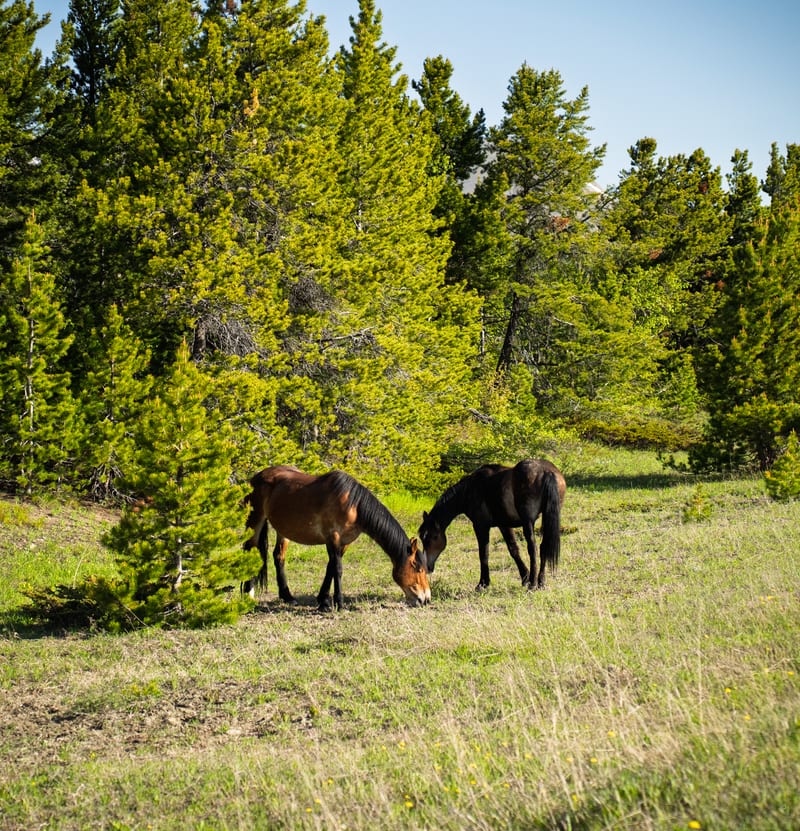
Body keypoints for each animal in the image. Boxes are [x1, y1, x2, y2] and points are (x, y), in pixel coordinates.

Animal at [243, 465, 430, 610]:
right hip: (255, 521)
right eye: (418, 568)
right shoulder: (333, 538)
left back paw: (287, 596)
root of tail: (257, 476)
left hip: (283, 529)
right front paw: (338, 603)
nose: (426, 599)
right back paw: (248, 595)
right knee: (250, 550)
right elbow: (338, 569)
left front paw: (323, 601)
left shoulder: (343, 543)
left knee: (279, 556)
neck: (353, 505)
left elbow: (330, 568)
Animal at [418, 459, 566, 592]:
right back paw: (540, 582)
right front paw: (525, 577)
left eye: (434, 537)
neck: (470, 490)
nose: (427, 567)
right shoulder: (504, 525)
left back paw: (533, 584)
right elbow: (514, 550)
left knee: (533, 548)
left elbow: (483, 554)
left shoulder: (480, 526)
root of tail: (547, 472)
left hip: (528, 522)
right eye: (422, 538)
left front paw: (483, 583)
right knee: (543, 546)